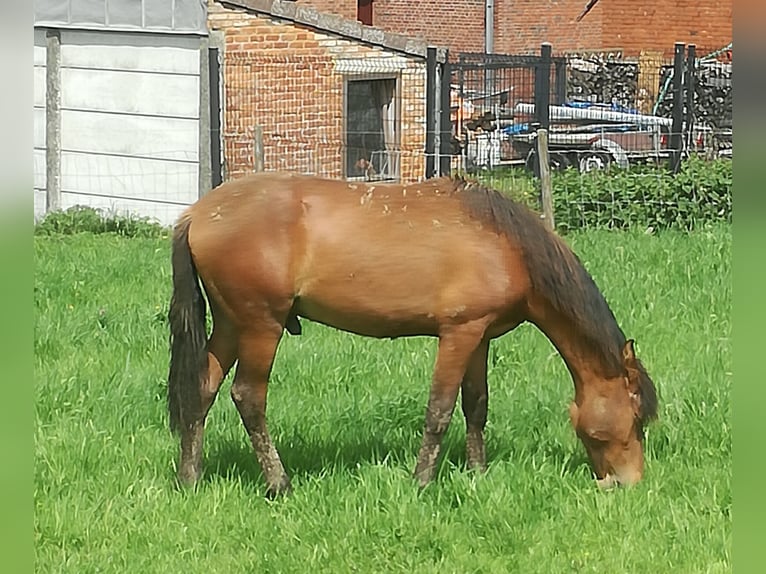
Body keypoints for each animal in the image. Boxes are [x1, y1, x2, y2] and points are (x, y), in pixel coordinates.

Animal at [168, 172, 660, 500]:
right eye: (637, 416)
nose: (631, 482)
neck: (505, 244)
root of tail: (196, 214)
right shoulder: (458, 333)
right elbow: (439, 411)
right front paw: (422, 481)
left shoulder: (480, 336)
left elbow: (476, 407)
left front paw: (477, 474)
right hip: (260, 326)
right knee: (248, 397)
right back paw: (279, 483)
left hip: (230, 324)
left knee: (202, 390)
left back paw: (190, 478)